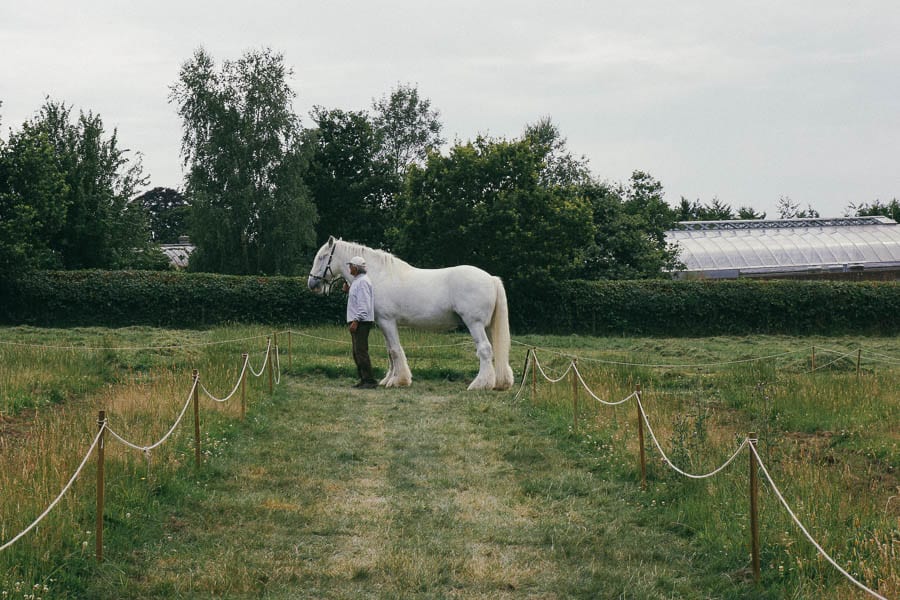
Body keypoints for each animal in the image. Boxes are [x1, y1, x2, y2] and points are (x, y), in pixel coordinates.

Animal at [308, 237, 512, 392]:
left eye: (323, 257)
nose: (312, 284)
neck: (378, 275)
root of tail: (491, 279)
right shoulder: (384, 324)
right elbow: (390, 351)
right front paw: (388, 379)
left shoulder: (387, 321)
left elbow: (394, 350)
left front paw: (398, 381)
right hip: (488, 326)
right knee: (496, 351)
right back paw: (499, 382)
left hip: (474, 324)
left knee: (485, 350)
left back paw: (479, 384)